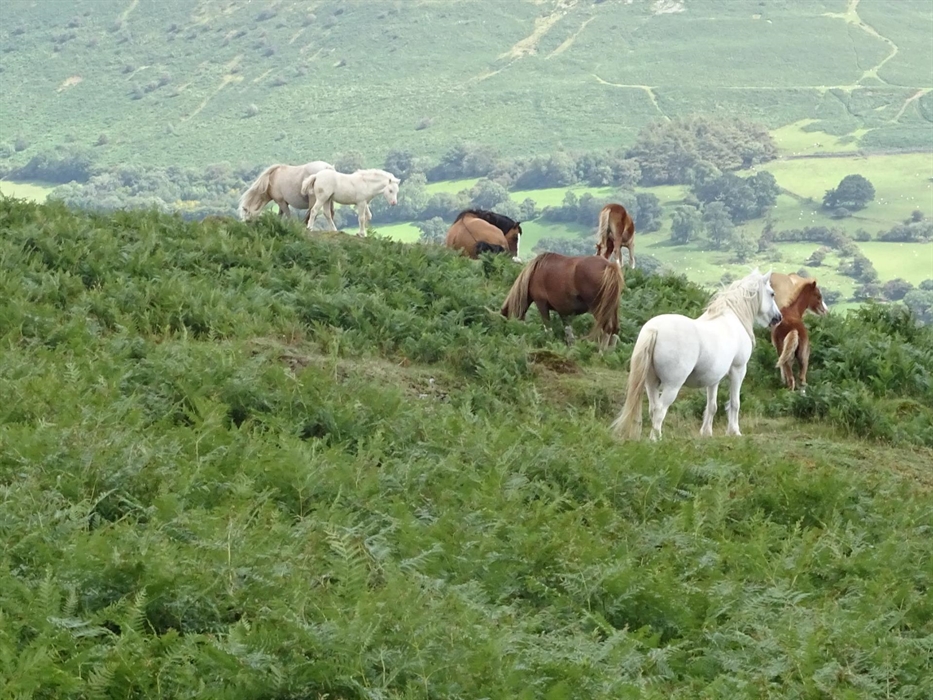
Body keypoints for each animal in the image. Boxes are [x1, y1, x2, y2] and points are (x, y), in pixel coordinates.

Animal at [610, 268, 782, 441]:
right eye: (772, 293)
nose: (778, 318)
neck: (732, 317)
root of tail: (655, 329)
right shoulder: (738, 370)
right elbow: (735, 403)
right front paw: (734, 431)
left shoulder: (714, 378)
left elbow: (712, 405)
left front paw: (706, 432)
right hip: (672, 385)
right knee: (660, 410)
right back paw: (656, 439)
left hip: (651, 382)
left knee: (653, 409)